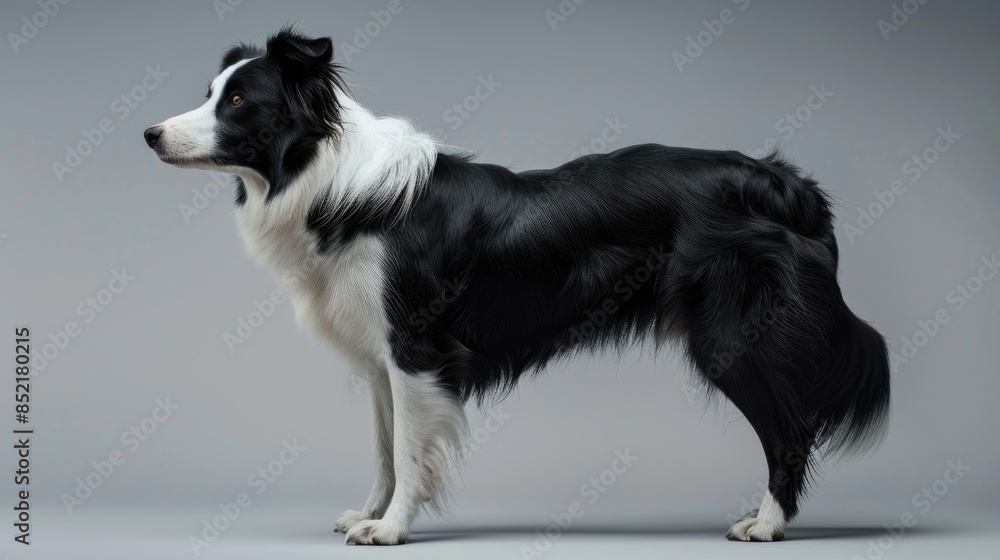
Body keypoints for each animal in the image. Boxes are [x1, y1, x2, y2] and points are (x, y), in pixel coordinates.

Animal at [143, 27, 892, 548]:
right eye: (210, 93)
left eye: (240, 100)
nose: (149, 133)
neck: (329, 180)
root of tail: (787, 182)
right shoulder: (383, 360)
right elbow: (384, 448)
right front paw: (370, 512)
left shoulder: (416, 349)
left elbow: (409, 450)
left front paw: (391, 529)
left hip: (731, 338)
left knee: (790, 428)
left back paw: (766, 524)